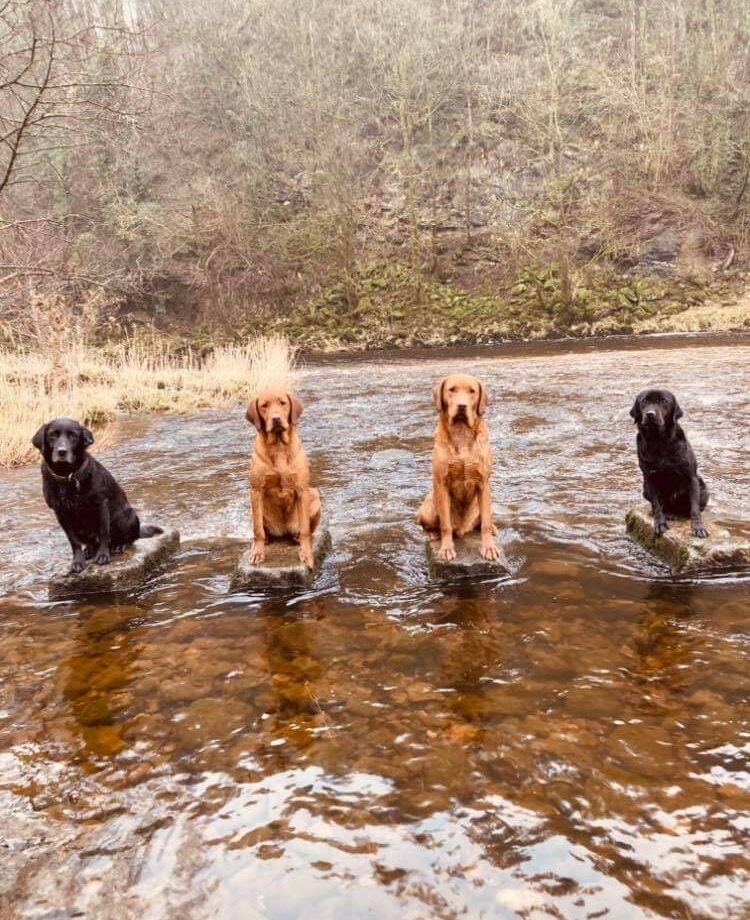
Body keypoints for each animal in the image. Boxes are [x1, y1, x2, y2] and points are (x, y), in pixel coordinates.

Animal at [33, 420, 162, 572]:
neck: (67, 476)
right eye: (53, 435)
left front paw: (103, 555)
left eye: (73, 436)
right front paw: (78, 561)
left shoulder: (100, 504)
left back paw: (119, 546)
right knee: (91, 543)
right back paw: (89, 550)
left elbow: (104, 532)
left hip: (127, 517)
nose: (62, 451)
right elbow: (73, 541)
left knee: (128, 539)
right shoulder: (60, 513)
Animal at [244, 390, 320, 568]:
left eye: (283, 403)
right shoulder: (256, 490)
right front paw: (258, 552)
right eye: (264, 406)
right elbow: (257, 529)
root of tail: (283, 531)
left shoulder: (302, 489)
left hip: (315, 494)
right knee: (262, 529)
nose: (276, 418)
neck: (278, 446)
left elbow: (306, 530)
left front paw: (306, 554)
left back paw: (296, 537)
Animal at [420, 372, 502, 560]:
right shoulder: (442, 483)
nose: (462, 406)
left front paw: (489, 547)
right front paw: (446, 548)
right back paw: (431, 533)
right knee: (427, 525)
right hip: (428, 506)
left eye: (472, 391)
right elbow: (445, 525)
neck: (461, 432)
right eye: (451, 390)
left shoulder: (483, 483)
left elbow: (486, 523)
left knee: (484, 521)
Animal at [628, 388, 712, 540]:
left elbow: (694, 509)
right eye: (644, 402)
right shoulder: (650, 478)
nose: (650, 414)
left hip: (703, 489)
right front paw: (659, 523)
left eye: (664, 401)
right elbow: (656, 505)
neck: (658, 441)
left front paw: (698, 527)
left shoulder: (691, 477)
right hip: (645, 489)